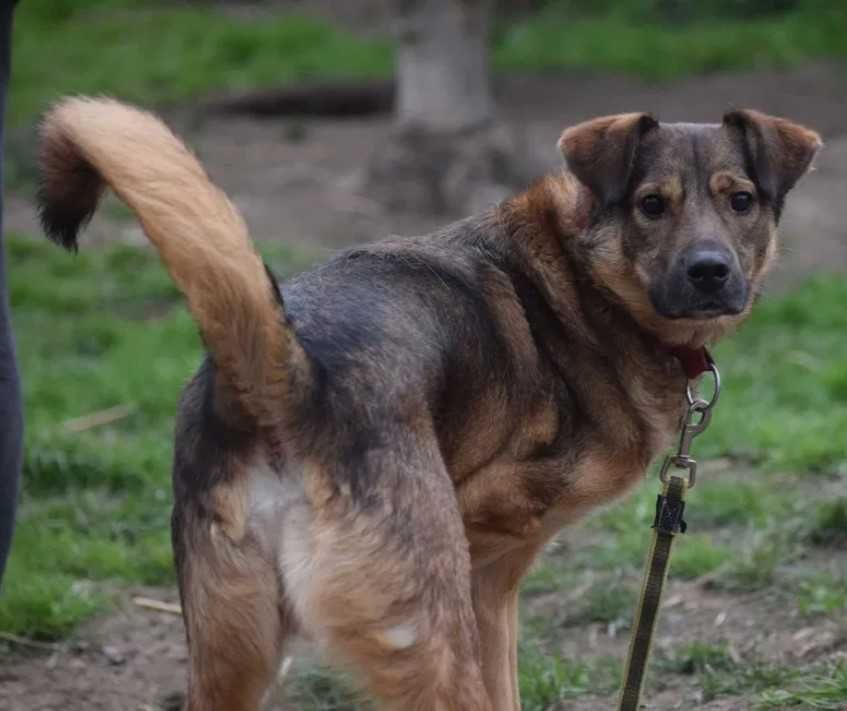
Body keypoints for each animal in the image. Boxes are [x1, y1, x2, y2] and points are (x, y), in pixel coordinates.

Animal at [34, 97, 820, 708]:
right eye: (651, 205)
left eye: (740, 201)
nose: (710, 272)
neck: (585, 278)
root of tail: (287, 376)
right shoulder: (487, 559)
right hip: (424, 637)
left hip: (232, 646)